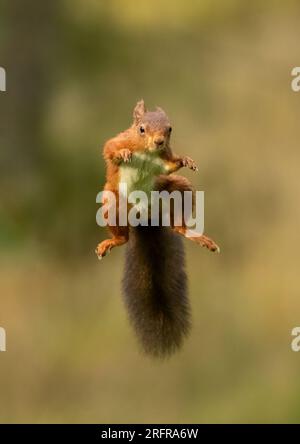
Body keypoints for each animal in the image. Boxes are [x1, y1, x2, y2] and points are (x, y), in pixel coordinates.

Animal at [97, 100, 219, 358]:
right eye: (141, 129)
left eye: (170, 129)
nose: (159, 141)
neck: (146, 152)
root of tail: (143, 214)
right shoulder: (121, 139)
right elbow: (109, 148)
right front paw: (122, 154)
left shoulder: (164, 160)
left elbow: (171, 165)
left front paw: (185, 160)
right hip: (113, 201)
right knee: (123, 237)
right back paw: (112, 241)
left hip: (176, 188)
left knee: (178, 224)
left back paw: (195, 235)